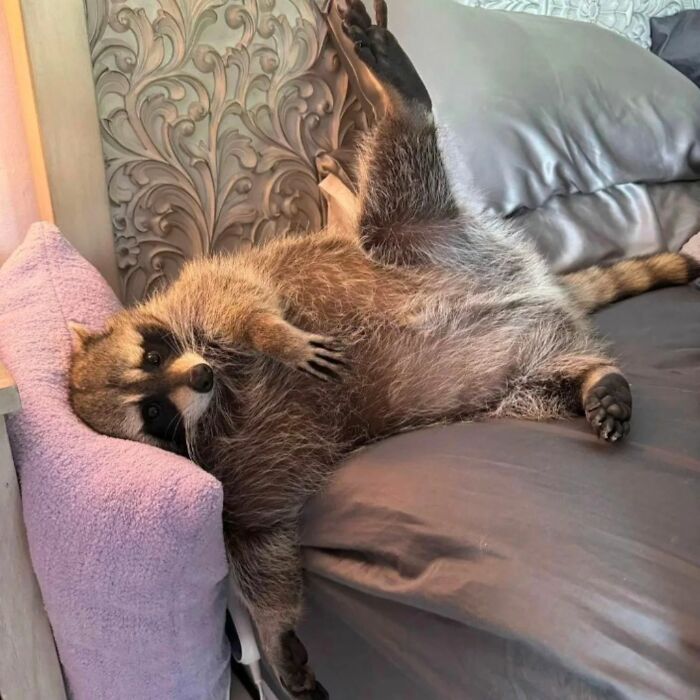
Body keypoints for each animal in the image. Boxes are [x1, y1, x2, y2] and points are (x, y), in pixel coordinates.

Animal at [67, 2, 700, 696]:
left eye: (152, 355)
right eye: (152, 413)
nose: (200, 377)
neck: (215, 404)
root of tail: (538, 281)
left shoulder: (196, 295)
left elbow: (241, 294)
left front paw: (273, 335)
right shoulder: (239, 485)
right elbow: (265, 545)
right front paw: (277, 633)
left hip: (413, 236)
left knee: (400, 178)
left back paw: (404, 98)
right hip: (506, 373)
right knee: (539, 388)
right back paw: (593, 381)